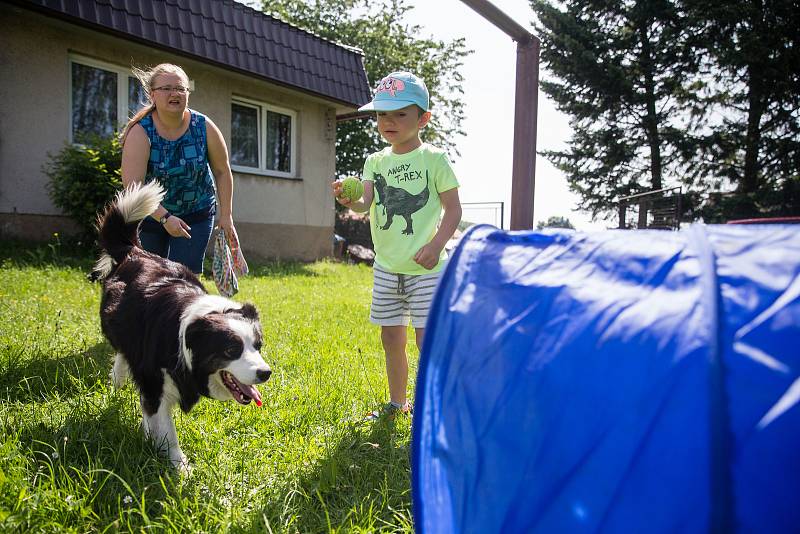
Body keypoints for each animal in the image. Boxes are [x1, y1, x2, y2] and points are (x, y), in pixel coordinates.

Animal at [95, 183, 270, 468]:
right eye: (231, 350)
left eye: (258, 346)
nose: (266, 373)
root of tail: (136, 251)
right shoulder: (155, 380)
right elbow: (166, 428)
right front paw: (180, 468)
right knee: (122, 351)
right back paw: (119, 379)